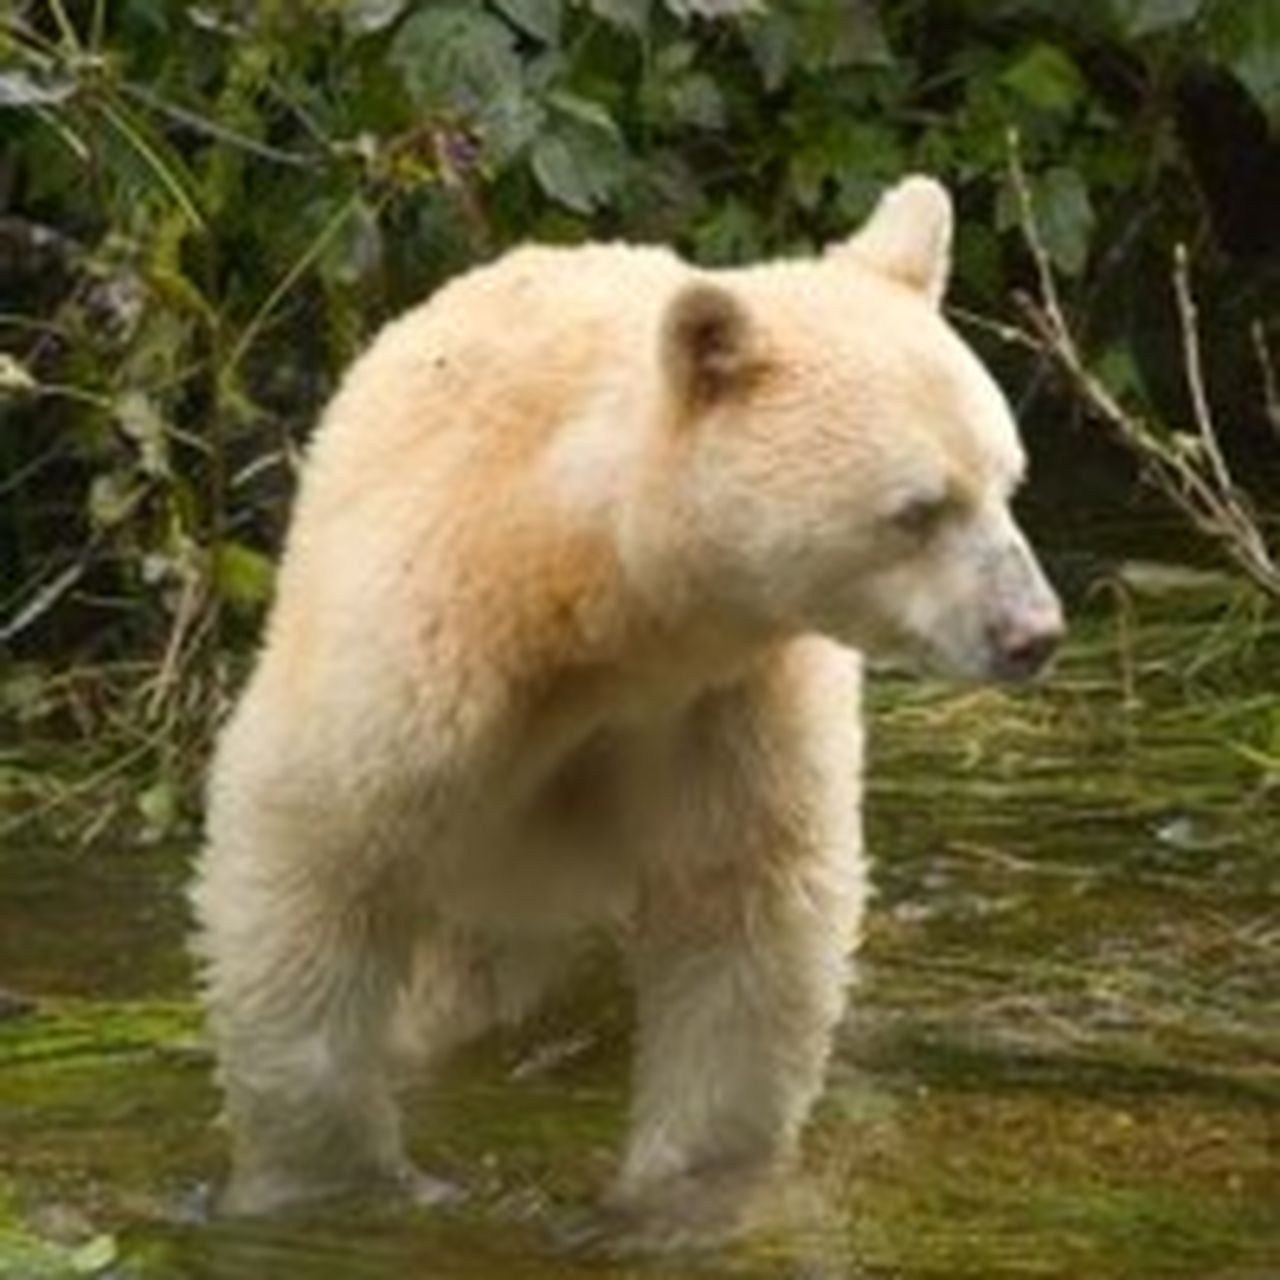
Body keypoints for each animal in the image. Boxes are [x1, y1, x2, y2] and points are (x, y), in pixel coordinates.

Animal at [190, 175, 1062, 1247]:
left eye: (1009, 479)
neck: (588, 597)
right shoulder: (422, 661)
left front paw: (682, 1201)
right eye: (917, 510)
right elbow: (312, 860)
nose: (1032, 632)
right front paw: (333, 1191)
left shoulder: (727, 699)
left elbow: (744, 916)